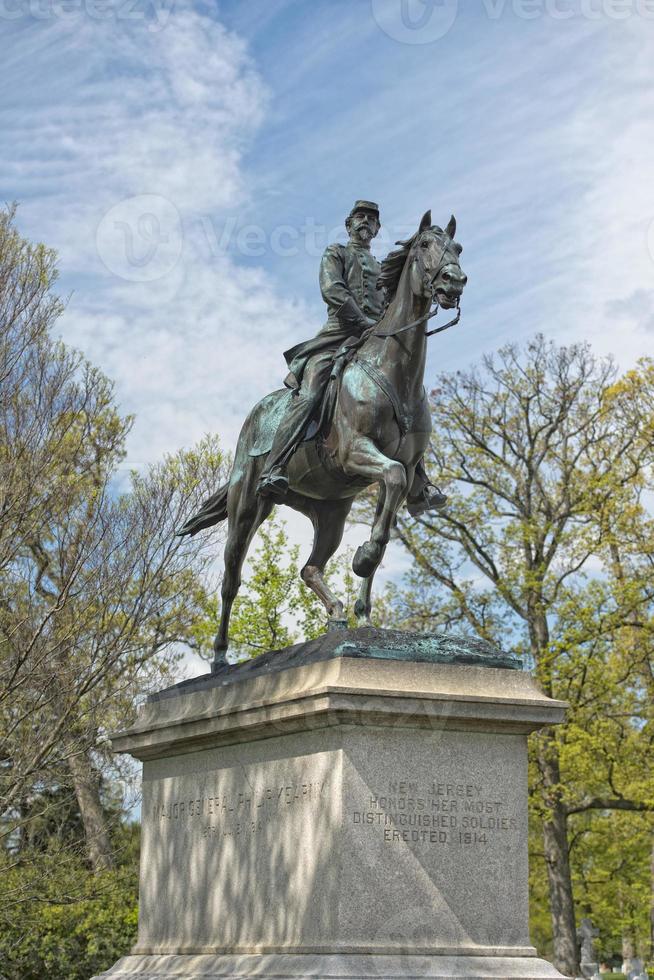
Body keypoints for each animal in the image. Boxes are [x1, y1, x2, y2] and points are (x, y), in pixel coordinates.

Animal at [179, 207, 466, 668]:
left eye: (456, 247)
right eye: (425, 244)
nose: (454, 282)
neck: (394, 370)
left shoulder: (401, 469)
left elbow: (387, 521)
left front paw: (365, 613)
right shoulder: (356, 453)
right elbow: (388, 491)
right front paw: (362, 560)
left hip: (329, 512)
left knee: (310, 568)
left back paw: (337, 613)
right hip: (247, 509)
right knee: (230, 579)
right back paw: (220, 658)